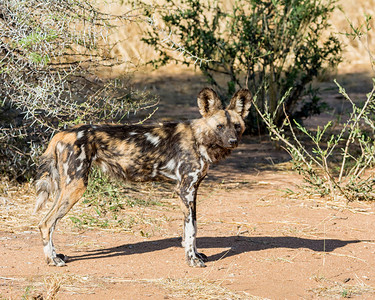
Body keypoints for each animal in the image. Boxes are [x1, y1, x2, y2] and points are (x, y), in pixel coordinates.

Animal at [35, 86, 253, 268]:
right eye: (219, 127)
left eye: (236, 126)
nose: (233, 141)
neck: (199, 138)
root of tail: (63, 133)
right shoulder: (185, 190)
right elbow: (191, 229)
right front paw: (192, 260)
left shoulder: (192, 190)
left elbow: (192, 227)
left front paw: (196, 254)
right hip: (76, 187)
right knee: (46, 223)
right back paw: (52, 260)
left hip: (66, 188)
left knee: (47, 221)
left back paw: (56, 255)